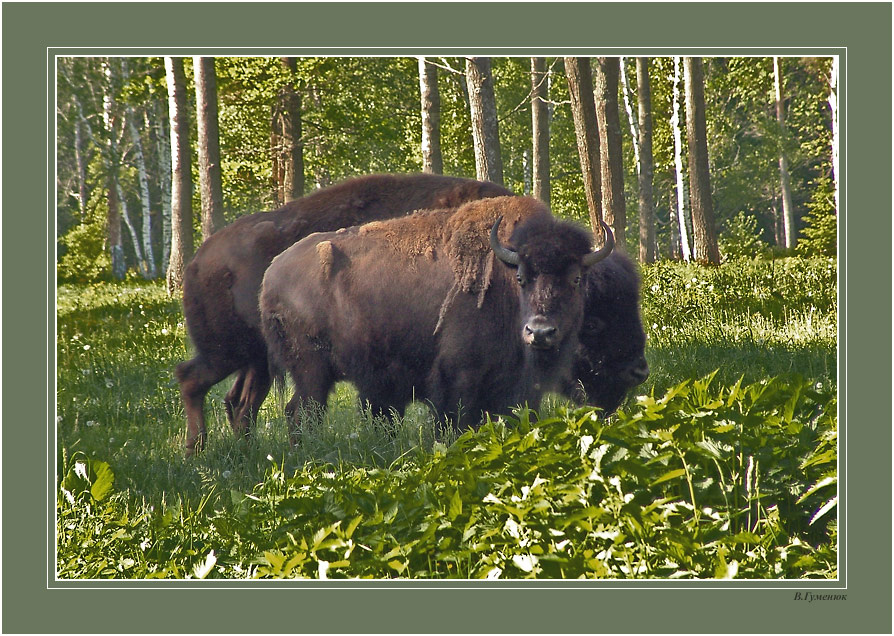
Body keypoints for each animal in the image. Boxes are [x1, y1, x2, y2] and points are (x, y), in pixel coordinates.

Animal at [176, 173, 512, 454]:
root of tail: (197, 261)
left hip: (257, 361)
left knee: (240, 403)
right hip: (229, 351)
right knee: (192, 379)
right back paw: (196, 450)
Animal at [259, 196, 613, 437]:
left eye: (576, 279)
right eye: (522, 278)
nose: (540, 332)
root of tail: (271, 274)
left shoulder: (520, 391)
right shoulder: (458, 379)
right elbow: (455, 424)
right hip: (311, 369)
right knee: (303, 413)